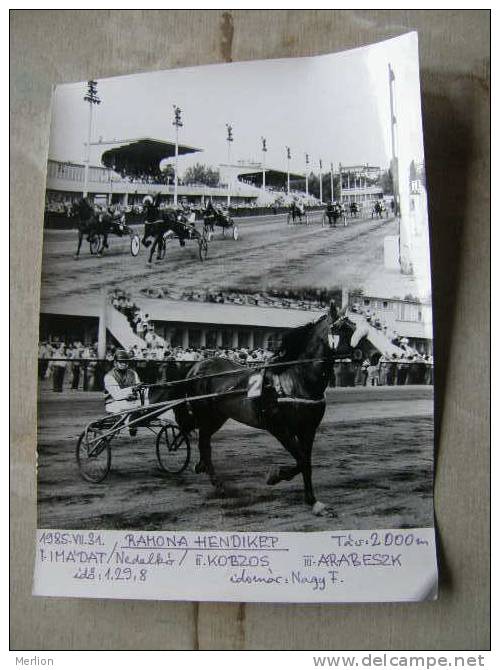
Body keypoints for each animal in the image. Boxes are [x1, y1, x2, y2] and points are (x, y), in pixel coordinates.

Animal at [149, 304, 368, 520]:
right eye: (343, 328)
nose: (372, 354)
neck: (293, 381)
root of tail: (196, 367)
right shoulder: (279, 428)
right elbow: (302, 460)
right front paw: (278, 477)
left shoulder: (308, 428)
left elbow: (305, 461)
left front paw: (311, 499)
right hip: (205, 414)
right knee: (203, 443)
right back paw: (216, 483)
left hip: (217, 416)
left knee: (202, 439)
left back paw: (201, 466)